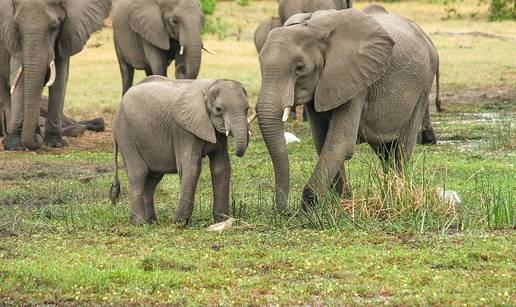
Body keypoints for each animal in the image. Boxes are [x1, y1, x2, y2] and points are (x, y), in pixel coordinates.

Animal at [0, 0, 112, 150]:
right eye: (17, 27)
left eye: (54, 28)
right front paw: (15, 146)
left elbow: (60, 77)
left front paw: (55, 143)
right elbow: (17, 76)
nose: (36, 140)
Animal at [110, 76, 252, 226]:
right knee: (138, 173)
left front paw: (222, 221)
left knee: (152, 178)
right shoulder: (183, 130)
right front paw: (179, 223)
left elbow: (221, 167)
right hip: (125, 133)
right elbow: (191, 167)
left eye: (247, 108)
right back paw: (139, 223)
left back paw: (151, 221)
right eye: (218, 109)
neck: (208, 87)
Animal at [256, 7, 442, 214]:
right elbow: (322, 142)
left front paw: (309, 207)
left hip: (423, 85)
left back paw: (397, 195)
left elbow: (339, 143)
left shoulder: (355, 78)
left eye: (300, 68)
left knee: (401, 147)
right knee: (384, 149)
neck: (313, 28)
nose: (283, 210)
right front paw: (342, 200)